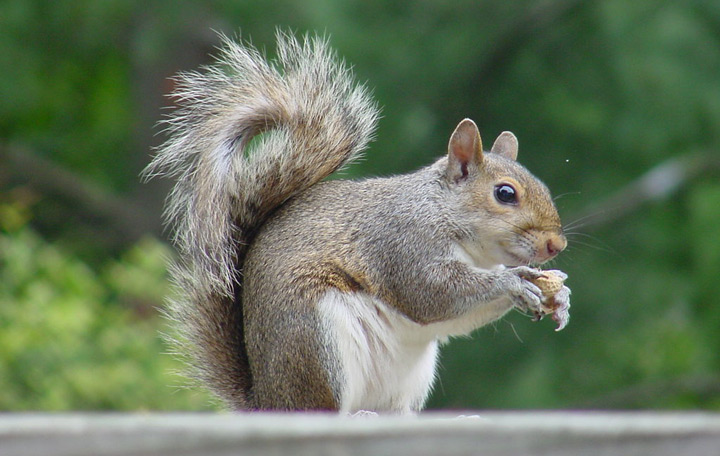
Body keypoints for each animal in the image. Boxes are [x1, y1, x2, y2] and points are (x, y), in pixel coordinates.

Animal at [146, 31, 572, 414]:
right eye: (505, 194)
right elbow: (433, 293)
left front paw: (558, 296)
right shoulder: (402, 243)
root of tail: (267, 401)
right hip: (318, 341)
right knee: (322, 409)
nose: (556, 245)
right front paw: (513, 281)